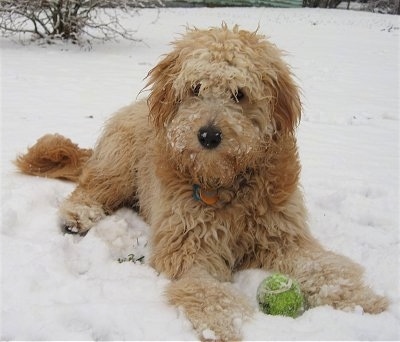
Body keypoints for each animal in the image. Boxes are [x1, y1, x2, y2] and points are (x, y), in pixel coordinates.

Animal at [16, 25, 388, 340]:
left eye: (240, 94)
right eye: (195, 88)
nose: (208, 135)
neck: (225, 184)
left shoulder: (284, 236)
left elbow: (324, 267)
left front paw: (363, 300)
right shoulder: (187, 246)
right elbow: (205, 289)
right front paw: (225, 322)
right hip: (117, 165)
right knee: (90, 188)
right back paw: (77, 216)